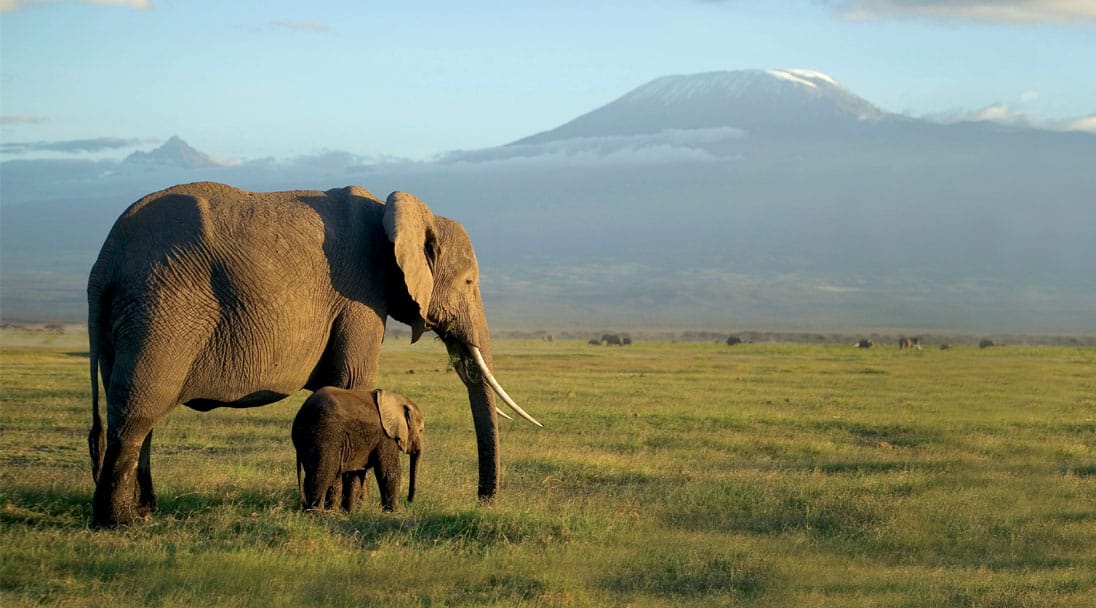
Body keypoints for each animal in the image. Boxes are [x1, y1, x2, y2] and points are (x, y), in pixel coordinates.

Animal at [291, 387, 423, 510]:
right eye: (421, 430)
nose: (409, 500)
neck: (396, 399)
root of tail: (302, 413)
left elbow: (356, 473)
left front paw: (350, 512)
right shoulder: (385, 436)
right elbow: (389, 471)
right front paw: (394, 511)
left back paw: (326, 511)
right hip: (325, 435)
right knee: (323, 474)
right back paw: (316, 513)